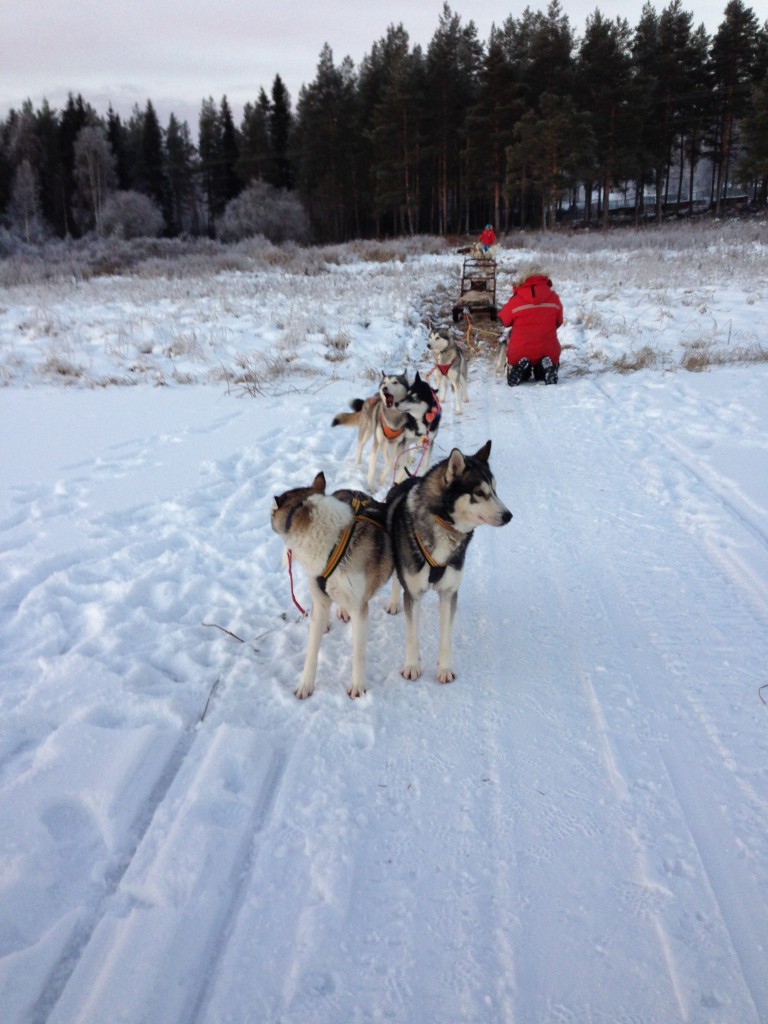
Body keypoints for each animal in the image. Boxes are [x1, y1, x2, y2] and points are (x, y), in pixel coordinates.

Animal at [272, 468, 393, 696]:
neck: (332, 545)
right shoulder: (319, 601)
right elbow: (312, 650)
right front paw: (306, 684)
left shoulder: (360, 607)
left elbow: (358, 653)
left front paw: (358, 686)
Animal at [385, 444, 512, 684]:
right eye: (479, 492)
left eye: (495, 490)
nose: (508, 515)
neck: (443, 524)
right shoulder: (413, 593)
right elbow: (412, 636)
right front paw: (412, 666)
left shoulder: (448, 592)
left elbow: (446, 637)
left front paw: (444, 669)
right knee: (397, 581)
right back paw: (394, 602)